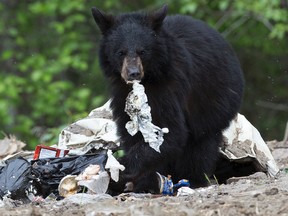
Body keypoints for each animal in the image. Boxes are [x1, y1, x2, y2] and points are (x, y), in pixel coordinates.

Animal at [91, 4, 244, 192]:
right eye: (121, 52)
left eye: (143, 51)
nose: (133, 73)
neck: (148, 79)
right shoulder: (121, 92)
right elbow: (131, 131)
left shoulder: (169, 86)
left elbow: (171, 131)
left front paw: (118, 167)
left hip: (216, 99)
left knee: (201, 143)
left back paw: (192, 179)